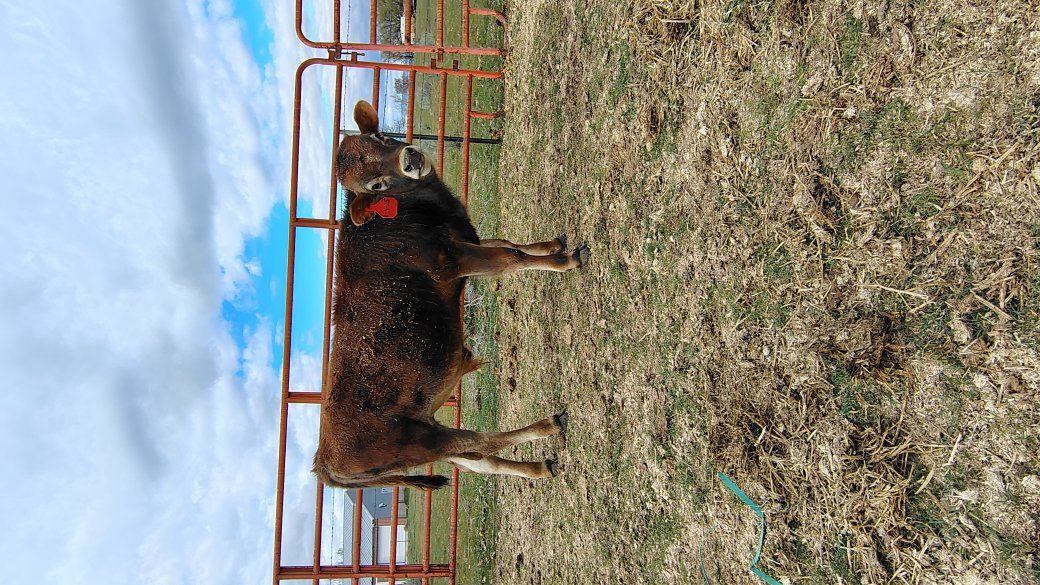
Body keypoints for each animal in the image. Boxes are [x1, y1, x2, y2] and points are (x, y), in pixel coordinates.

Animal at [311, 100, 590, 490]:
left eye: (380, 137)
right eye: (376, 185)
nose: (410, 158)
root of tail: (325, 463)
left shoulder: (468, 238)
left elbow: (509, 243)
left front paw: (551, 245)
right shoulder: (454, 260)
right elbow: (510, 258)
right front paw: (567, 260)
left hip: (435, 436)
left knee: (482, 461)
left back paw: (538, 468)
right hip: (424, 441)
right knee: (481, 442)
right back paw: (548, 425)